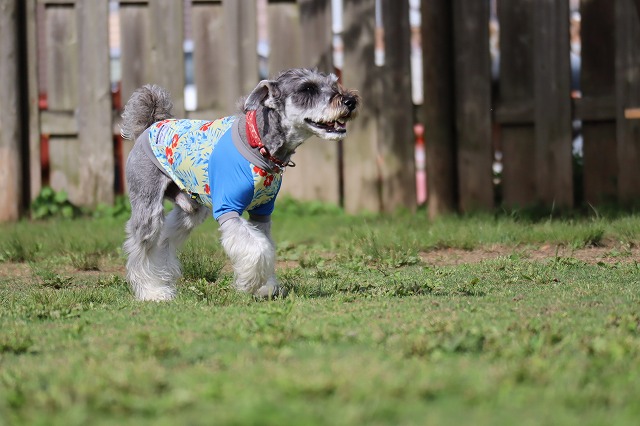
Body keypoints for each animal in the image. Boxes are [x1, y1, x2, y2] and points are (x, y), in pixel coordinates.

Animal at [120, 68, 360, 301]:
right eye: (307, 88)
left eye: (333, 83)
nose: (351, 101)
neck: (259, 143)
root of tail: (149, 126)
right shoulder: (228, 208)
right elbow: (258, 249)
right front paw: (250, 284)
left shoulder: (262, 212)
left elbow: (266, 246)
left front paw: (265, 287)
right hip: (148, 204)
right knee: (142, 249)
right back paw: (153, 291)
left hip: (191, 208)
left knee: (164, 240)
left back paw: (164, 275)